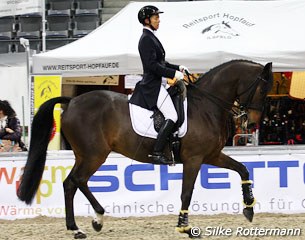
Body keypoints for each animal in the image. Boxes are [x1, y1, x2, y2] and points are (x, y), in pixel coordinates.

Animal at [17, 59, 272, 238]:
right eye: (262, 90)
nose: (251, 124)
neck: (206, 106)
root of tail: (72, 102)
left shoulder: (212, 155)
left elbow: (243, 169)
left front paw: (249, 208)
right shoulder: (194, 158)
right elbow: (186, 193)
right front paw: (184, 228)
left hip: (84, 155)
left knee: (71, 183)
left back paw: (82, 226)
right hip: (94, 155)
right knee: (77, 181)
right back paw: (91, 221)